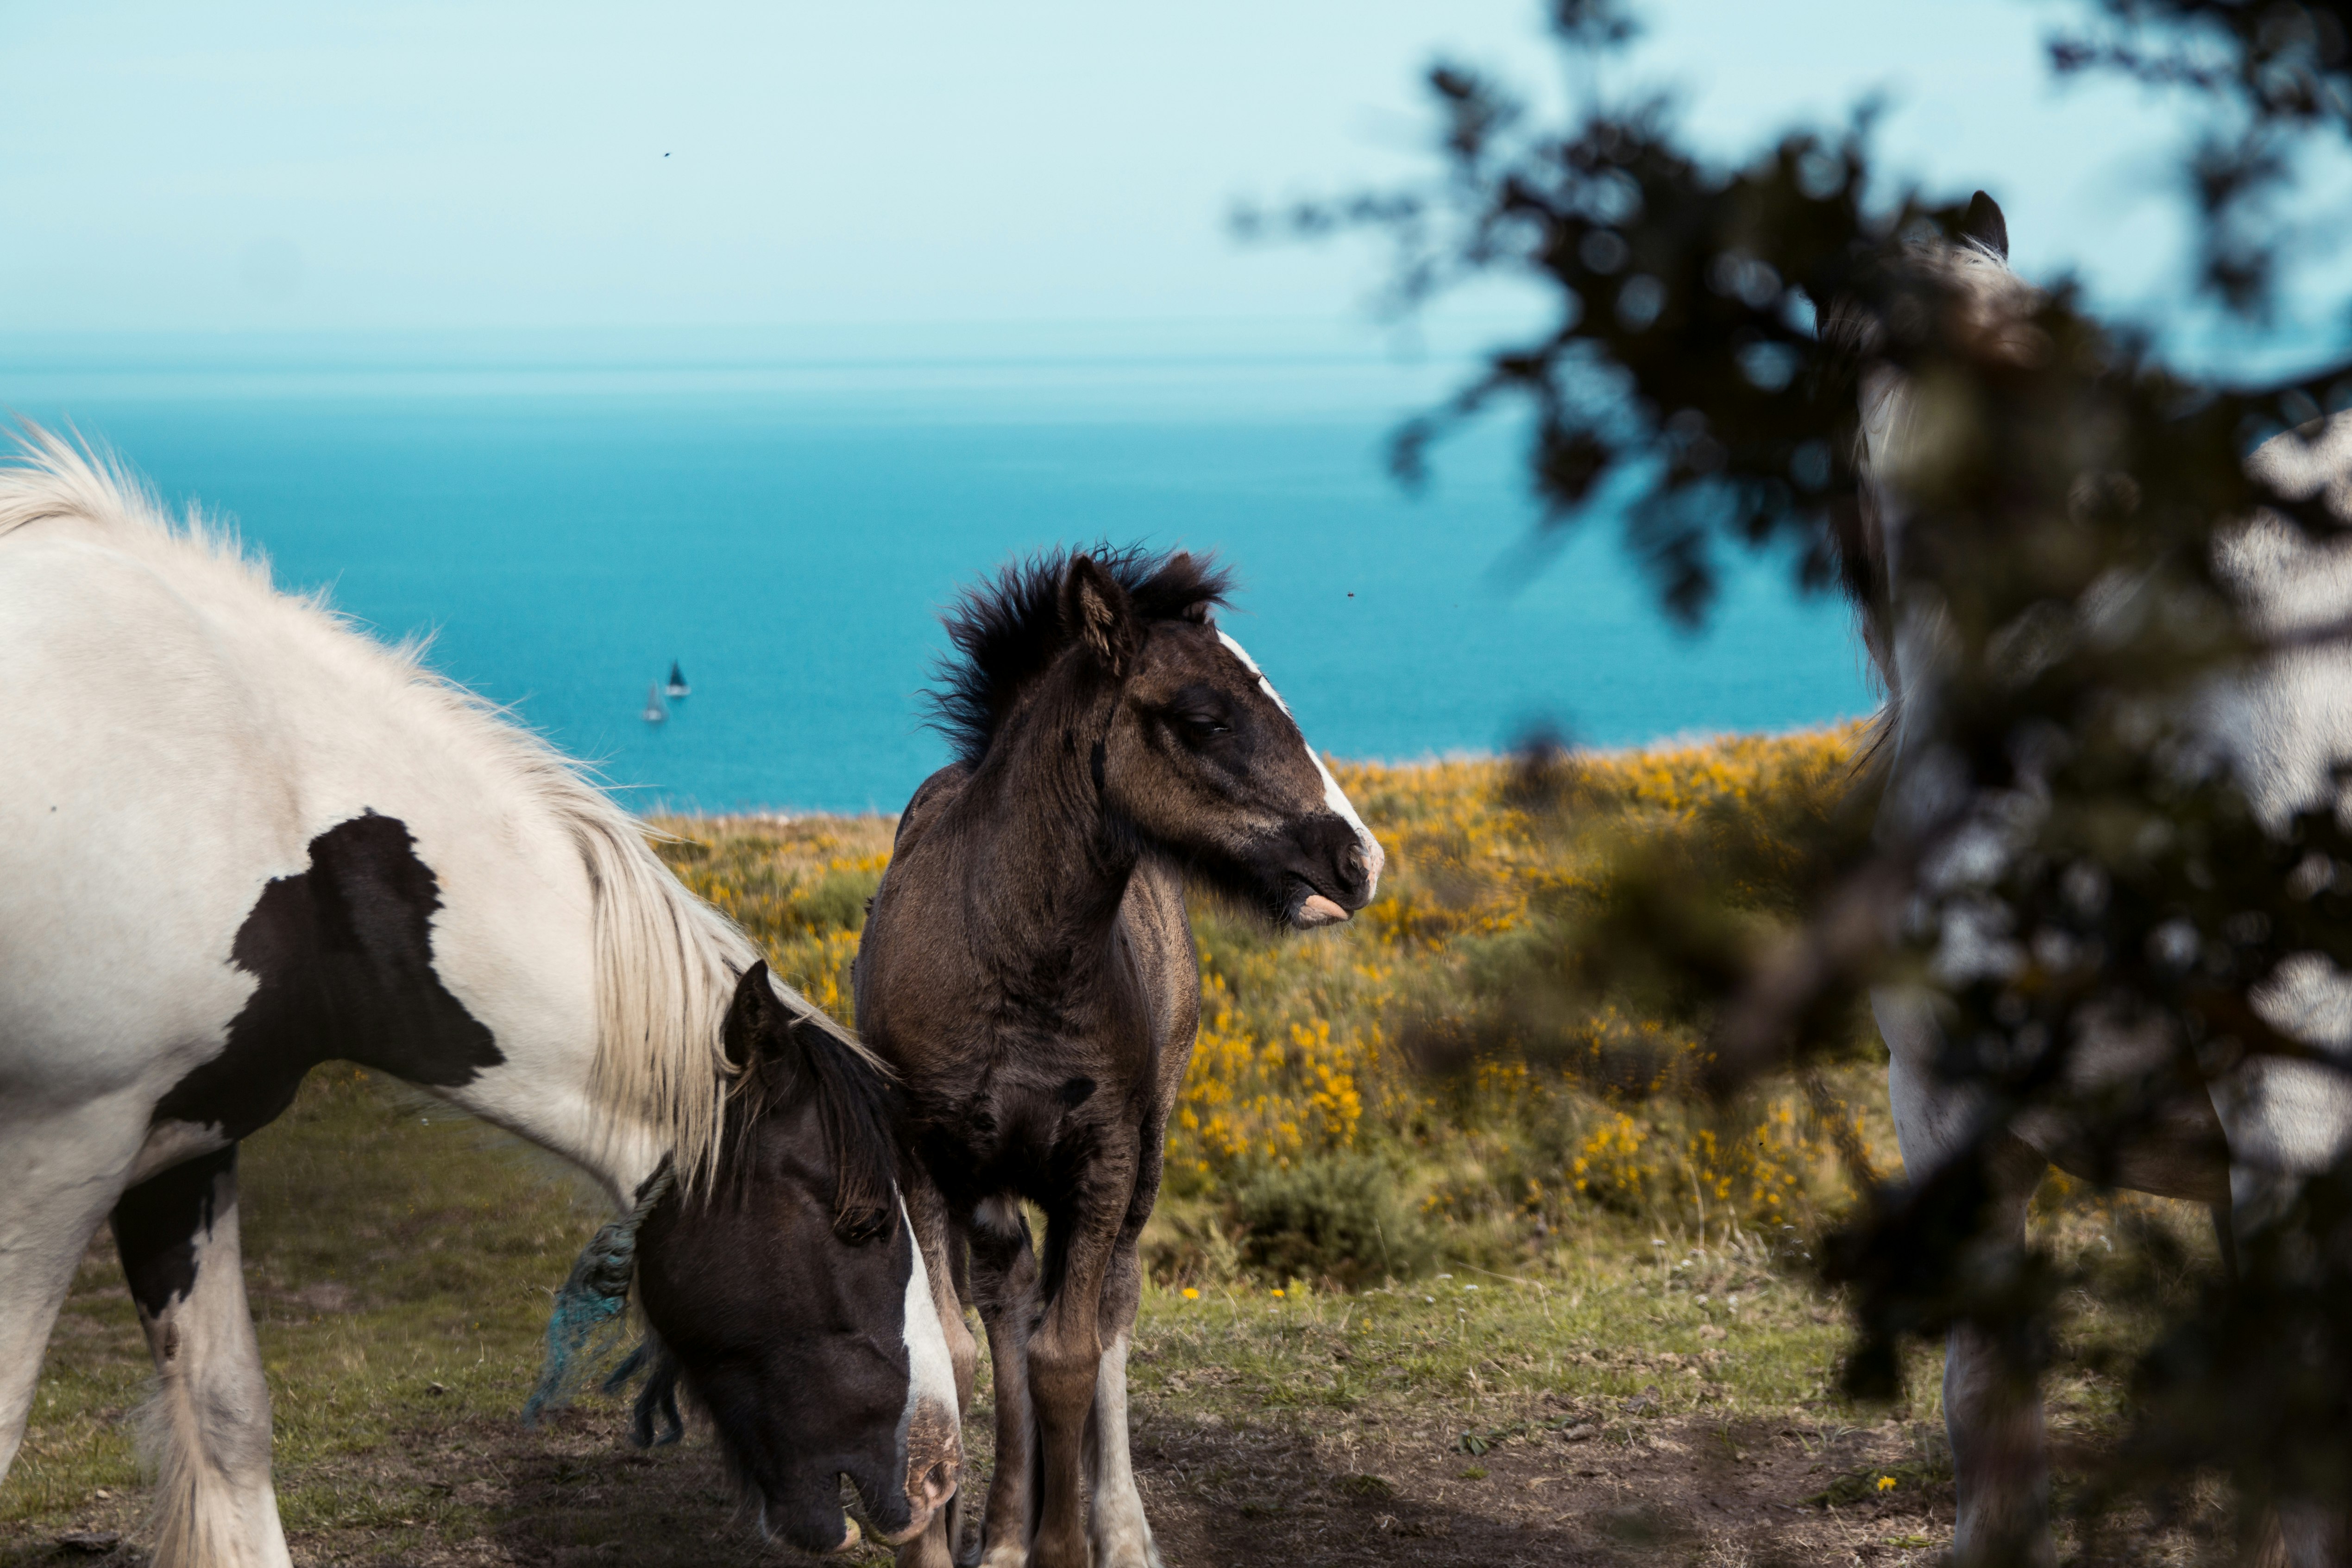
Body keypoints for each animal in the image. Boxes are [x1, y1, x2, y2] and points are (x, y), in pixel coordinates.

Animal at [0, 432, 959, 1568]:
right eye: (860, 1223)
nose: (939, 1472)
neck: (237, 798)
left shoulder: (185, 1146)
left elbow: (228, 1417)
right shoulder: (57, 1154)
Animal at [861, 543, 1373, 1568]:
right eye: (1203, 718)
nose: (1358, 861)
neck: (1013, 955)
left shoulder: (1101, 1154)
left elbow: (1069, 1356)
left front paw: (1068, 1543)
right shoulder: (924, 1155)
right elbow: (955, 1356)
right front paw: (954, 1534)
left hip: (1147, 1150)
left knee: (1108, 1311)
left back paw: (1119, 1529)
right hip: (993, 1182)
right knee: (1011, 1298)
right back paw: (1000, 1531)